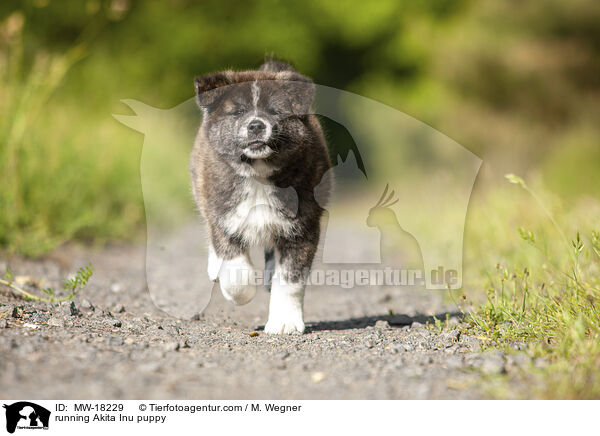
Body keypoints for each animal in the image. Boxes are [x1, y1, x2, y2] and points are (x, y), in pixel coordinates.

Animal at [190, 60, 330, 334]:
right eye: (237, 112)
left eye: (275, 112)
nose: (256, 125)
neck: (258, 173)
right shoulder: (223, 214)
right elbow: (235, 268)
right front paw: (238, 293)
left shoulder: (303, 227)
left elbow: (290, 279)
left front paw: (285, 322)